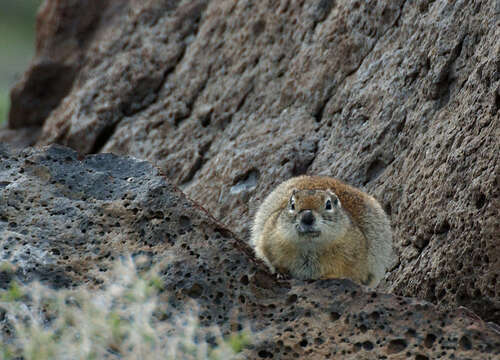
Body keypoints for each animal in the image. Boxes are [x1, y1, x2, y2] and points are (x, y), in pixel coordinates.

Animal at [252, 175, 392, 286]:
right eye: (292, 204)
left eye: (328, 205)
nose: (307, 217)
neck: (309, 246)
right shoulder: (270, 237)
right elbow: (272, 259)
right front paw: (281, 273)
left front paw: (328, 277)